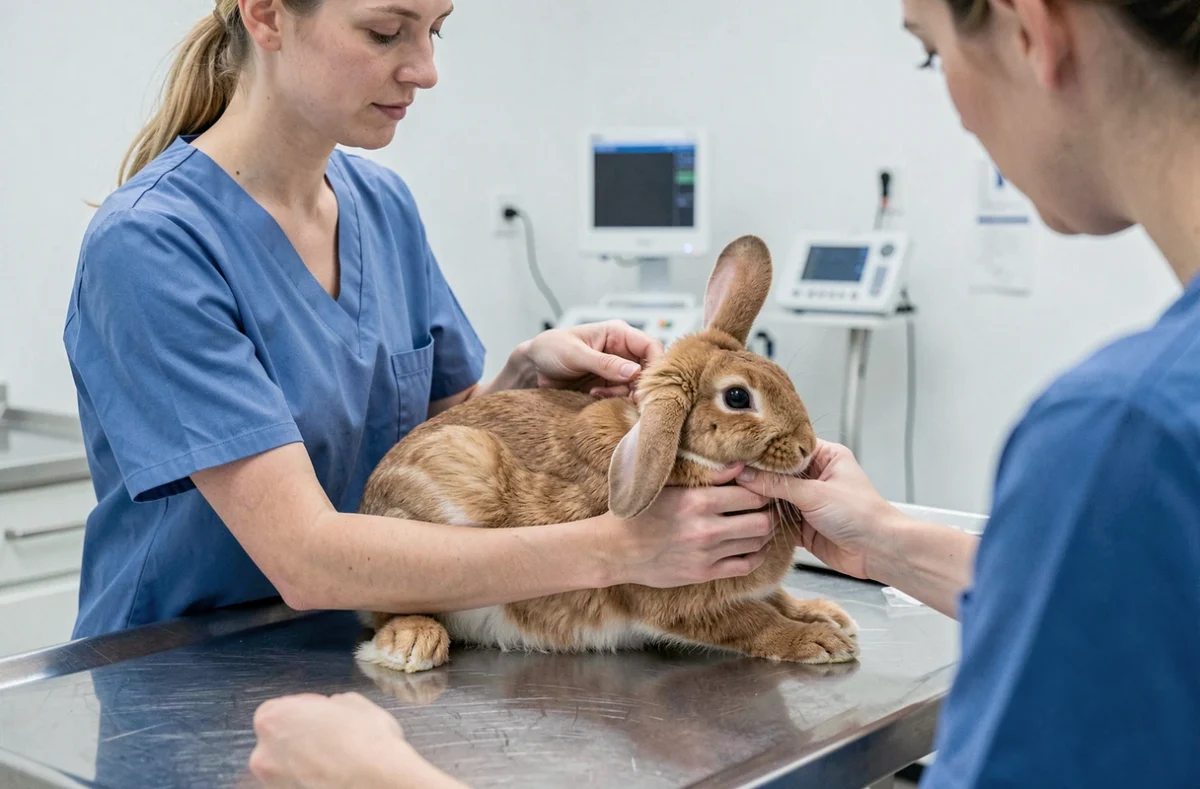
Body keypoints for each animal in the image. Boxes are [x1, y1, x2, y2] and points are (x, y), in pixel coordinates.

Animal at [353, 235, 859, 674]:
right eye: (737, 397)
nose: (806, 448)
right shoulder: (677, 599)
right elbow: (751, 621)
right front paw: (819, 642)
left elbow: (776, 599)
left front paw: (827, 615)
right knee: (385, 608)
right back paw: (411, 643)